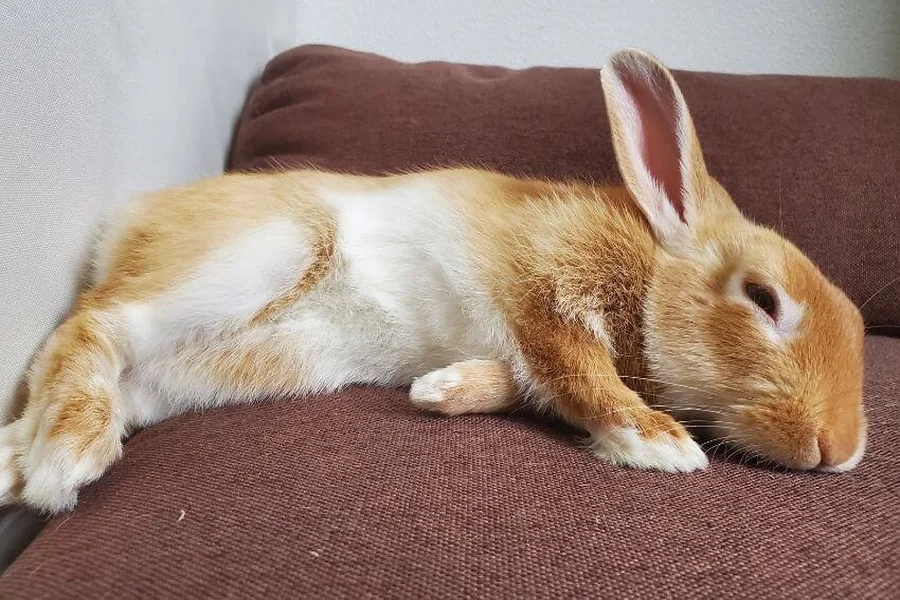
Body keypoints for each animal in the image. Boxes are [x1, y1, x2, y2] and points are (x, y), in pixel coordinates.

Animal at [0, 49, 866, 514]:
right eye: (763, 299)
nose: (842, 450)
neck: (650, 271)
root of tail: (123, 228)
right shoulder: (542, 293)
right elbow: (578, 372)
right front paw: (661, 445)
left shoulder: (524, 352)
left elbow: (526, 384)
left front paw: (437, 392)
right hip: (259, 256)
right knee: (93, 325)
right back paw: (62, 461)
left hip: (231, 365)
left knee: (116, 379)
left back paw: (19, 462)